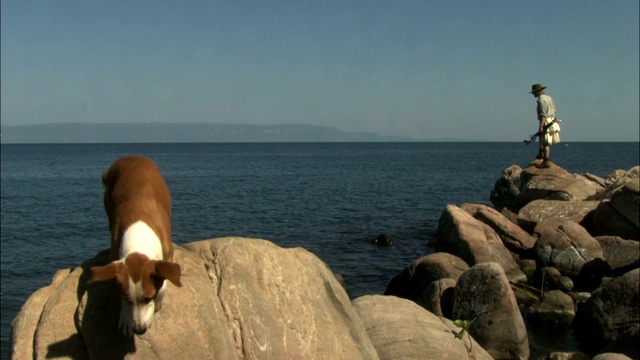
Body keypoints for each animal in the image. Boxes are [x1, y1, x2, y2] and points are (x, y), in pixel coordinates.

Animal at [87, 157, 182, 338]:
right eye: (127, 300)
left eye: (148, 298)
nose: (140, 330)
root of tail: (130, 157)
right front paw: (125, 318)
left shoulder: (168, 253)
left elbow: (164, 282)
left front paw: (158, 301)